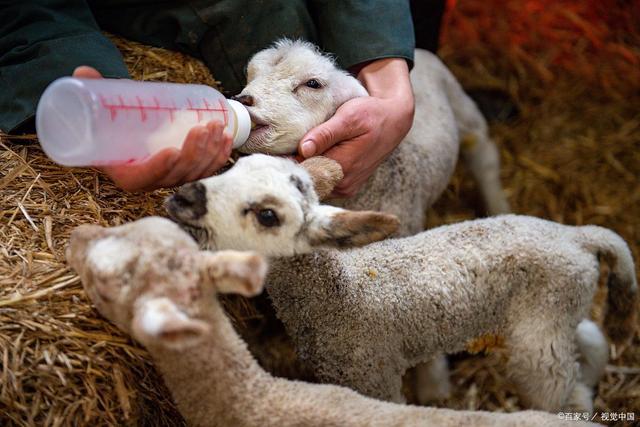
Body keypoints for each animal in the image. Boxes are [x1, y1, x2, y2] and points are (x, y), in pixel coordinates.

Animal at [165, 156, 636, 414]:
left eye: (267, 215)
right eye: (232, 166)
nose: (181, 197)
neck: (339, 294)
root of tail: (577, 235)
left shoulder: (374, 376)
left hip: (540, 333)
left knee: (562, 390)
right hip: (557, 307)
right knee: (589, 341)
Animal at [231, 39, 510, 237]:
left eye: (312, 84)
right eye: (251, 75)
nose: (243, 100)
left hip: (463, 107)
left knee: (483, 154)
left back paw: (498, 205)